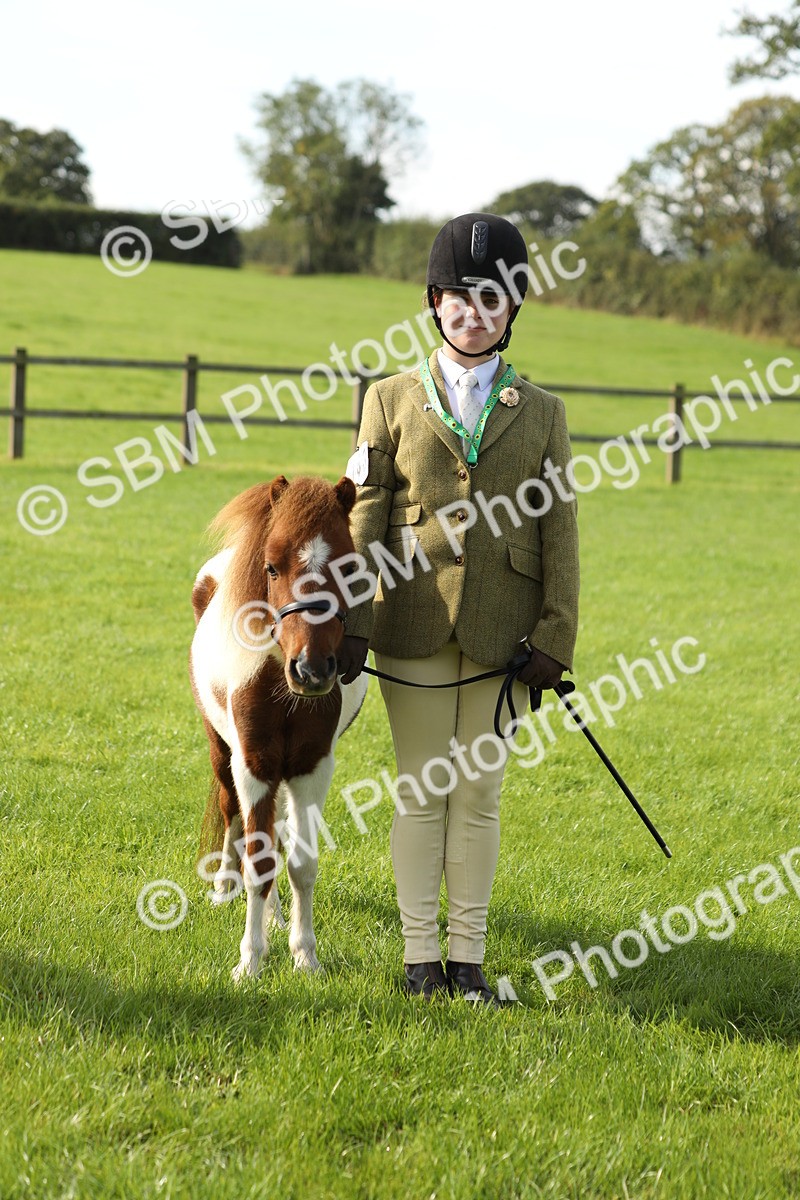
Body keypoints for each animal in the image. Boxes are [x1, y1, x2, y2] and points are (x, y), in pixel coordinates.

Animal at [189, 473, 368, 982]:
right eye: (271, 568)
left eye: (350, 569)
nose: (311, 670)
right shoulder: (254, 765)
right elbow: (258, 861)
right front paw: (250, 961)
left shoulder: (311, 769)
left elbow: (301, 862)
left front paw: (304, 954)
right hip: (221, 752)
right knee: (233, 814)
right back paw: (225, 891)